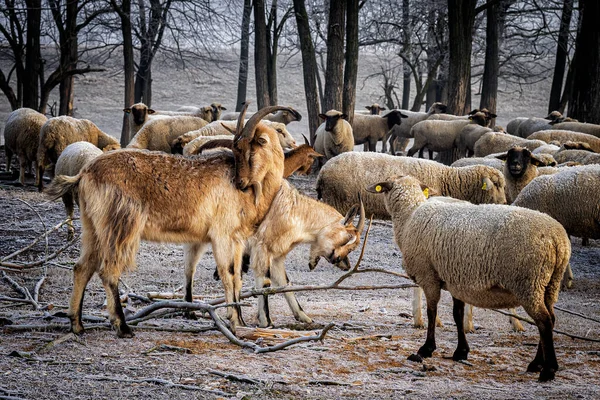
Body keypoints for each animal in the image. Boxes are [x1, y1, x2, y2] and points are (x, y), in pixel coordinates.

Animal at [44, 104, 292, 338]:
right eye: (236, 149)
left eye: (252, 146)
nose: (240, 182)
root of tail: (85, 173)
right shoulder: (221, 235)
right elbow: (228, 275)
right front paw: (233, 320)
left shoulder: (237, 240)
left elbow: (238, 277)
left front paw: (240, 320)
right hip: (120, 224)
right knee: (108, 271)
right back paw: (122, 326)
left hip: (92, 226)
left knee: (82, 267)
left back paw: (77, 324)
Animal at [368, 175, 568, 382]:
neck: (409, 217)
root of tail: (558, 240)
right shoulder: (455, 280)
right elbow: (457, 315)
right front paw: (461, 352)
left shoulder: (429, 276)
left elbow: (432, 312)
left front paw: (427, 348)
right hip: (549, 284)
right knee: (550, 319)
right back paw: (536, 364)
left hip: (529, 283)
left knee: (544, 321)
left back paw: (547, 369)